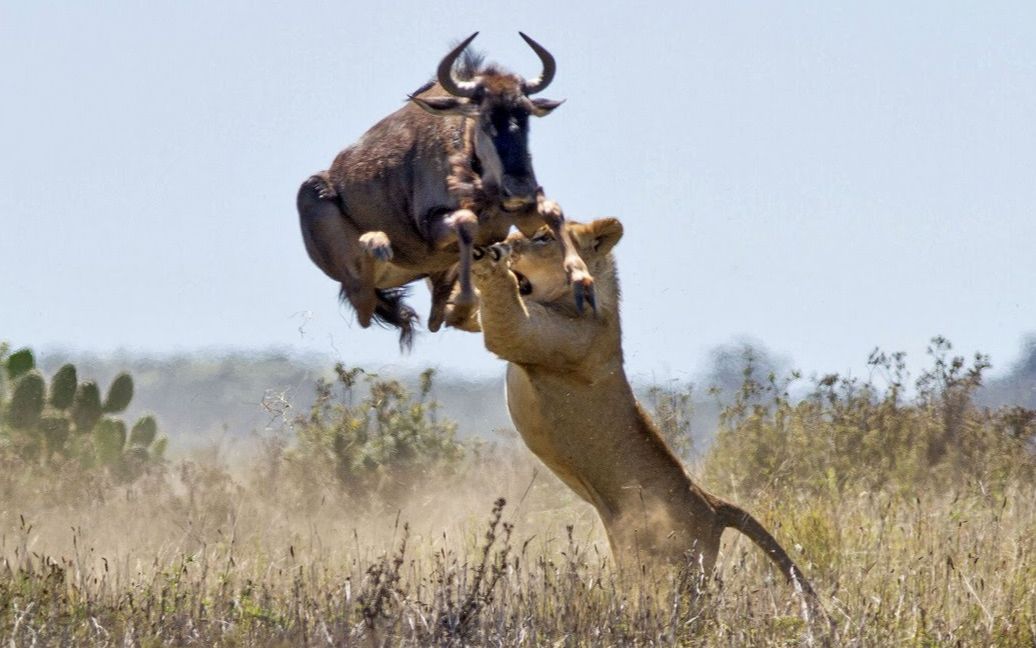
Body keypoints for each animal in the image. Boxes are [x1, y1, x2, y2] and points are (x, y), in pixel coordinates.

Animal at [472, 215, 824, 609]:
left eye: (543, 238)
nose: (505, 242)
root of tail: (713, 505)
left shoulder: (545, 337)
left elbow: (505, 322)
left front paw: (485, 259)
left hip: (676, 564)